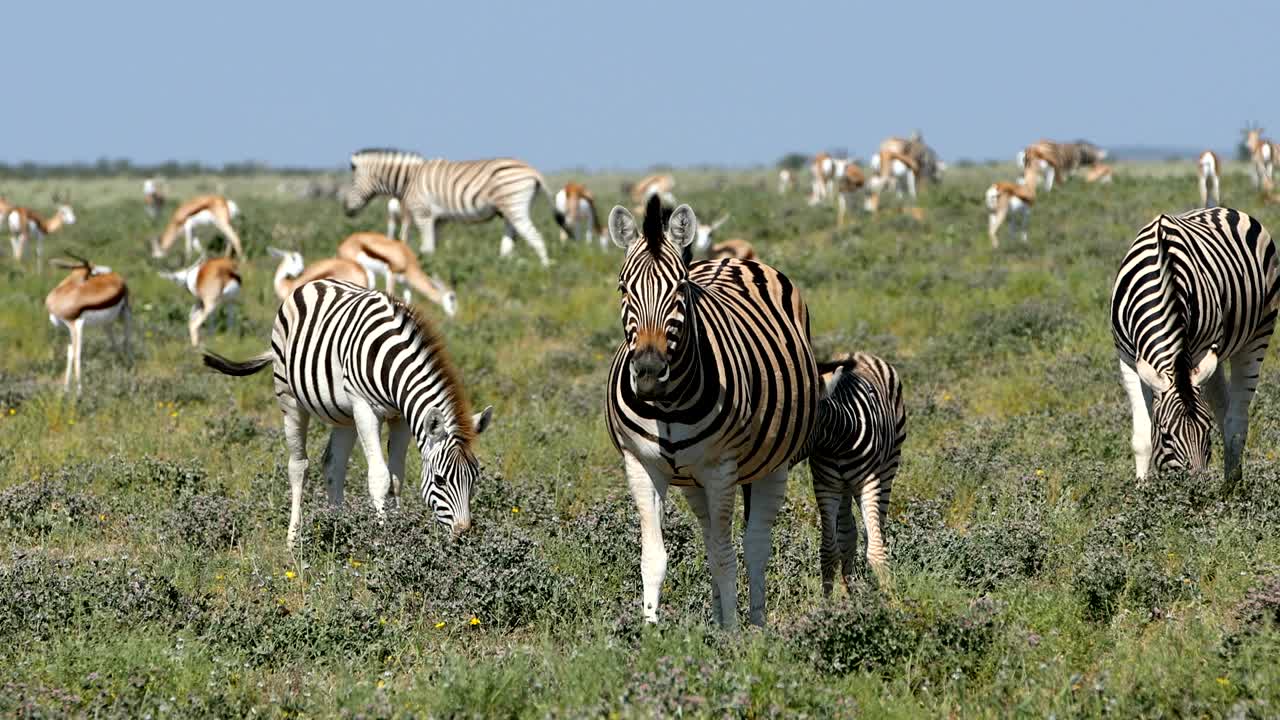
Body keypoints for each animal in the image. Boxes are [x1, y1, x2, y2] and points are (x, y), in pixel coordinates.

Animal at [202, 279, 494, 548]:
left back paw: (337, 527)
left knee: (333, 464)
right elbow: (380, 478)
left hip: (344, 415)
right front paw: (385, 538)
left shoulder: (401, 417)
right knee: (298, 466)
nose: (463, 535)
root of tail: (313, 282)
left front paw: (399, 529)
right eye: (440, 480)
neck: (392, 365)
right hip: (289, 397)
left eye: (474, 477)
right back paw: (293, 539)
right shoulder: (365, 409)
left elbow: (397, 478)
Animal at [342, 149, 571, 266]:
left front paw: (430, 270)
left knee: (536, 238)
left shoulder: (423, 214)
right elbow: (433, 248)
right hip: (508, 212)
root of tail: (532, 170)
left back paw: (545, 269)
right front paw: (436, 269)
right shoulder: (438, 220)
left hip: (515, 208)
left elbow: (427, 248)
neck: (409, 179)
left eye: (352, 182)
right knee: (508, 246)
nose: (346, 210)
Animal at [605, 195, 821, 629]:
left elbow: (725, 557)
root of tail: (732, 260)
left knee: (755, 545)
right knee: (710, 540)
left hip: (772, 465)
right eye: (623, 288)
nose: (649, 372)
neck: (667, 403)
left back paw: (755, 624)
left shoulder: (721, 468)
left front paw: (734, 636)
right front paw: (649, 634)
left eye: (679, 289)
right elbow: (653, 558)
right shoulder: (640, 465)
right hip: (692, 480)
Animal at [798, 353, 905, 596]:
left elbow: (876, 549)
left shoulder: (869, 483)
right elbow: (829, 551)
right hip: (844, 488)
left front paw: (891, 599)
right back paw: (850, 591)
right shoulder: (825, 486)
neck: (836, 444)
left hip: (888, 469)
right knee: (848, 534)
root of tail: (861, 354)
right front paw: (827, 604)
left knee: (877, 531)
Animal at [1111, 208, 1279, 486]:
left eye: (1206, 430)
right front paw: (1141, 490)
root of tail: (1223, 209)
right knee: (1224, 408)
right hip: (1214, 359)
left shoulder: (1197, 355)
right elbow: (1142, 439)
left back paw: (1232, 487)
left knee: (1235, 421)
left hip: (1259, 332)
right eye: (1166, 436)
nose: (1196, 490)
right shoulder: (1128, 360)